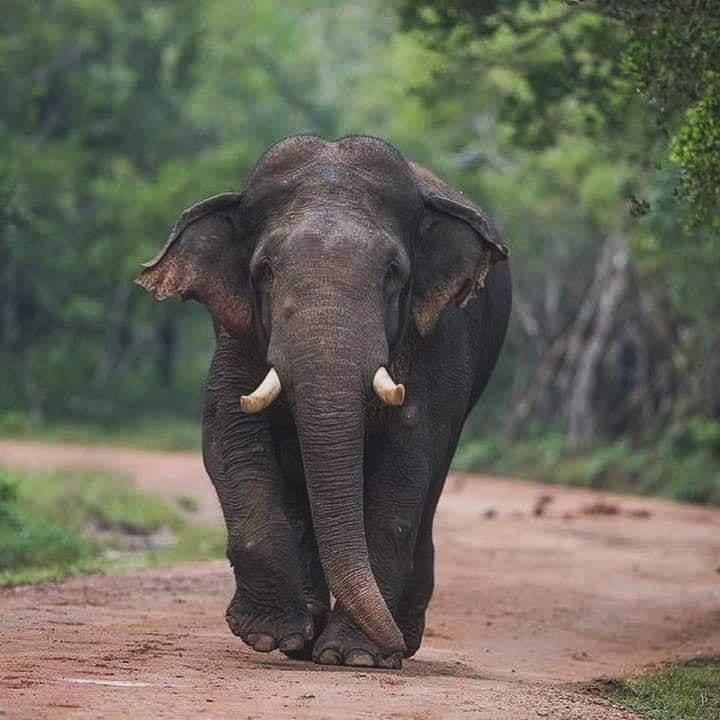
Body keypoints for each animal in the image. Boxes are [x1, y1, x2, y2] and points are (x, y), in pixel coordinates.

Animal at [135, 134, 511, 669]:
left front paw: (356, 657)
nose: (393, 648)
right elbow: (228, 432)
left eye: (393, 272)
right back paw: (306, 641)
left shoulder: (442, 333)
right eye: (265, 271)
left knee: (431, 479)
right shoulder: (236, 331)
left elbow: (407, 455)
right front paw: (271, 636)